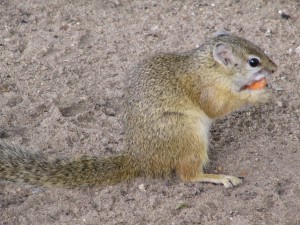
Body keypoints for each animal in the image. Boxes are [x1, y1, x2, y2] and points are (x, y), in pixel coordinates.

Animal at [0, 33, 276, 188]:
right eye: (253, 62)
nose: (274, 68)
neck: (211, 68)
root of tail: (141, 159)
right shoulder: (205, 88)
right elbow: (217, 107)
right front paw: (257, 94)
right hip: (185, 133)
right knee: (187, 175)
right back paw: (218, 178)